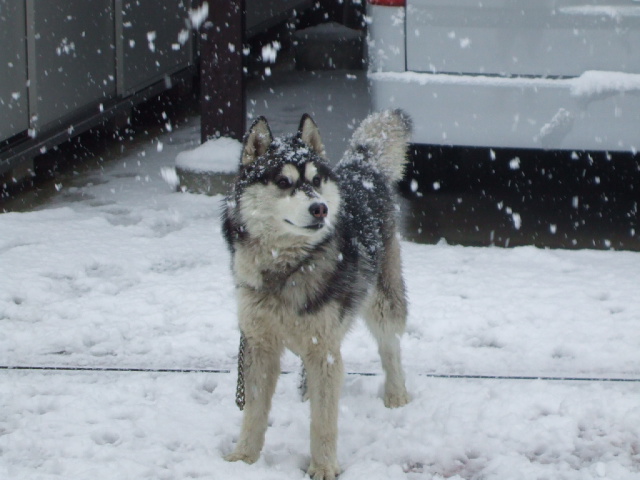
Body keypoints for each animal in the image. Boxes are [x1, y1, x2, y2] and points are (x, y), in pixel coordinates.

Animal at [221, 109, 410, 480]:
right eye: (283, 182)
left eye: (316, 180)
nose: (320, 208)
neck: (286, 269)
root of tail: (359, 167)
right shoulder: (258, 344)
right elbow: (253, 413)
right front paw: (245, 458)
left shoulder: (324, 348)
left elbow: (324, 420)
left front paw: (323, 466)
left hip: (382, 298)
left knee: (390, 345)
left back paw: (396, 395)